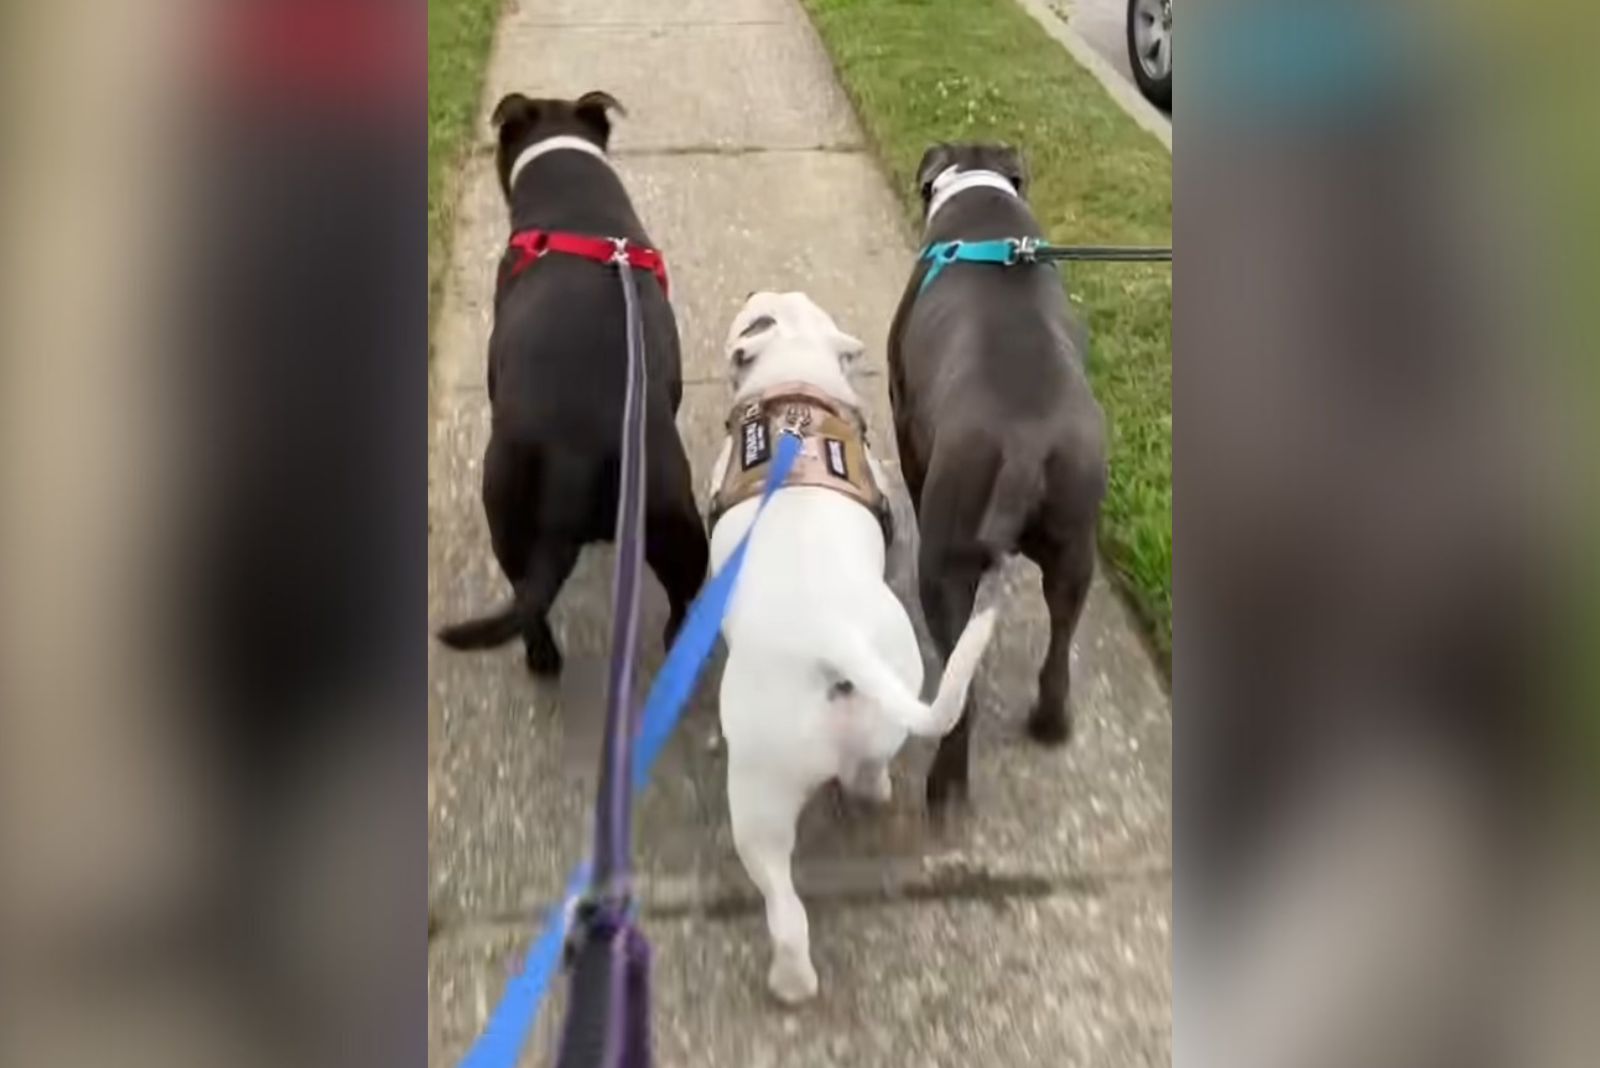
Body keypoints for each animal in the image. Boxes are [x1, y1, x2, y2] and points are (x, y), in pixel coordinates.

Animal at [441, 93, 710, 674]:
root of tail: (574, 456)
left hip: (510, 513)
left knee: (529, 604)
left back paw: (543, 656)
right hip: (673, 519)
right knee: (680, 603)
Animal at [707, 289, 992, 1004]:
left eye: (756, 316)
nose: (756, 294)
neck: (795, 393)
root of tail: (831, 635)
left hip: (757, 799)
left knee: (783, 906)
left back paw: (789, 983)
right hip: (882, 704)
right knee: (866, 779)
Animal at [889, 143, 1100, 808]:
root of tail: (1027, 444)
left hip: (945, 562)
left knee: (961, 690)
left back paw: (946, 784)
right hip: (1075, 546)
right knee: (1059, 647)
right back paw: (1051, 724)